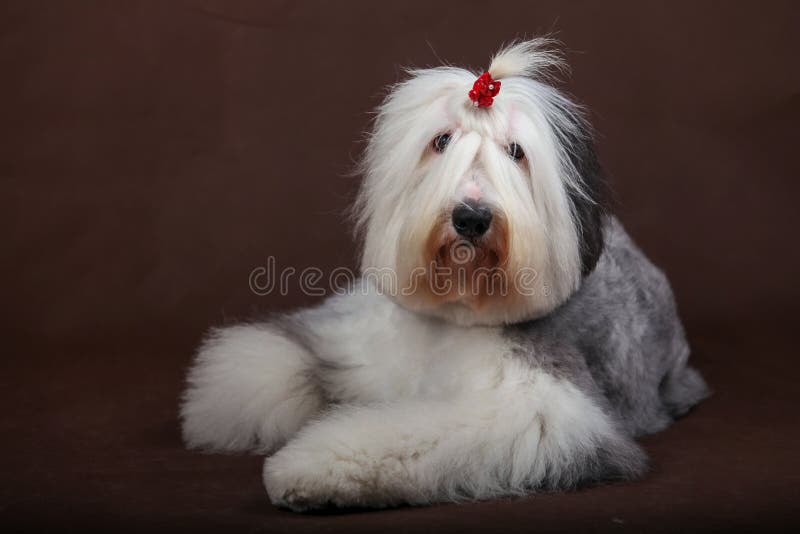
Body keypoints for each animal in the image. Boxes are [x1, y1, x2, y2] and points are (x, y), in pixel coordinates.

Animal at [180, 38, 708, 510]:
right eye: (442, 141)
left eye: (515, 152)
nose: (471, 217)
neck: (456, 318)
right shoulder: (358, 339)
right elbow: (280, 363)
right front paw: (217, 404)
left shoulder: (540, 411)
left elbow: (412, 434)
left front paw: (304, 469)